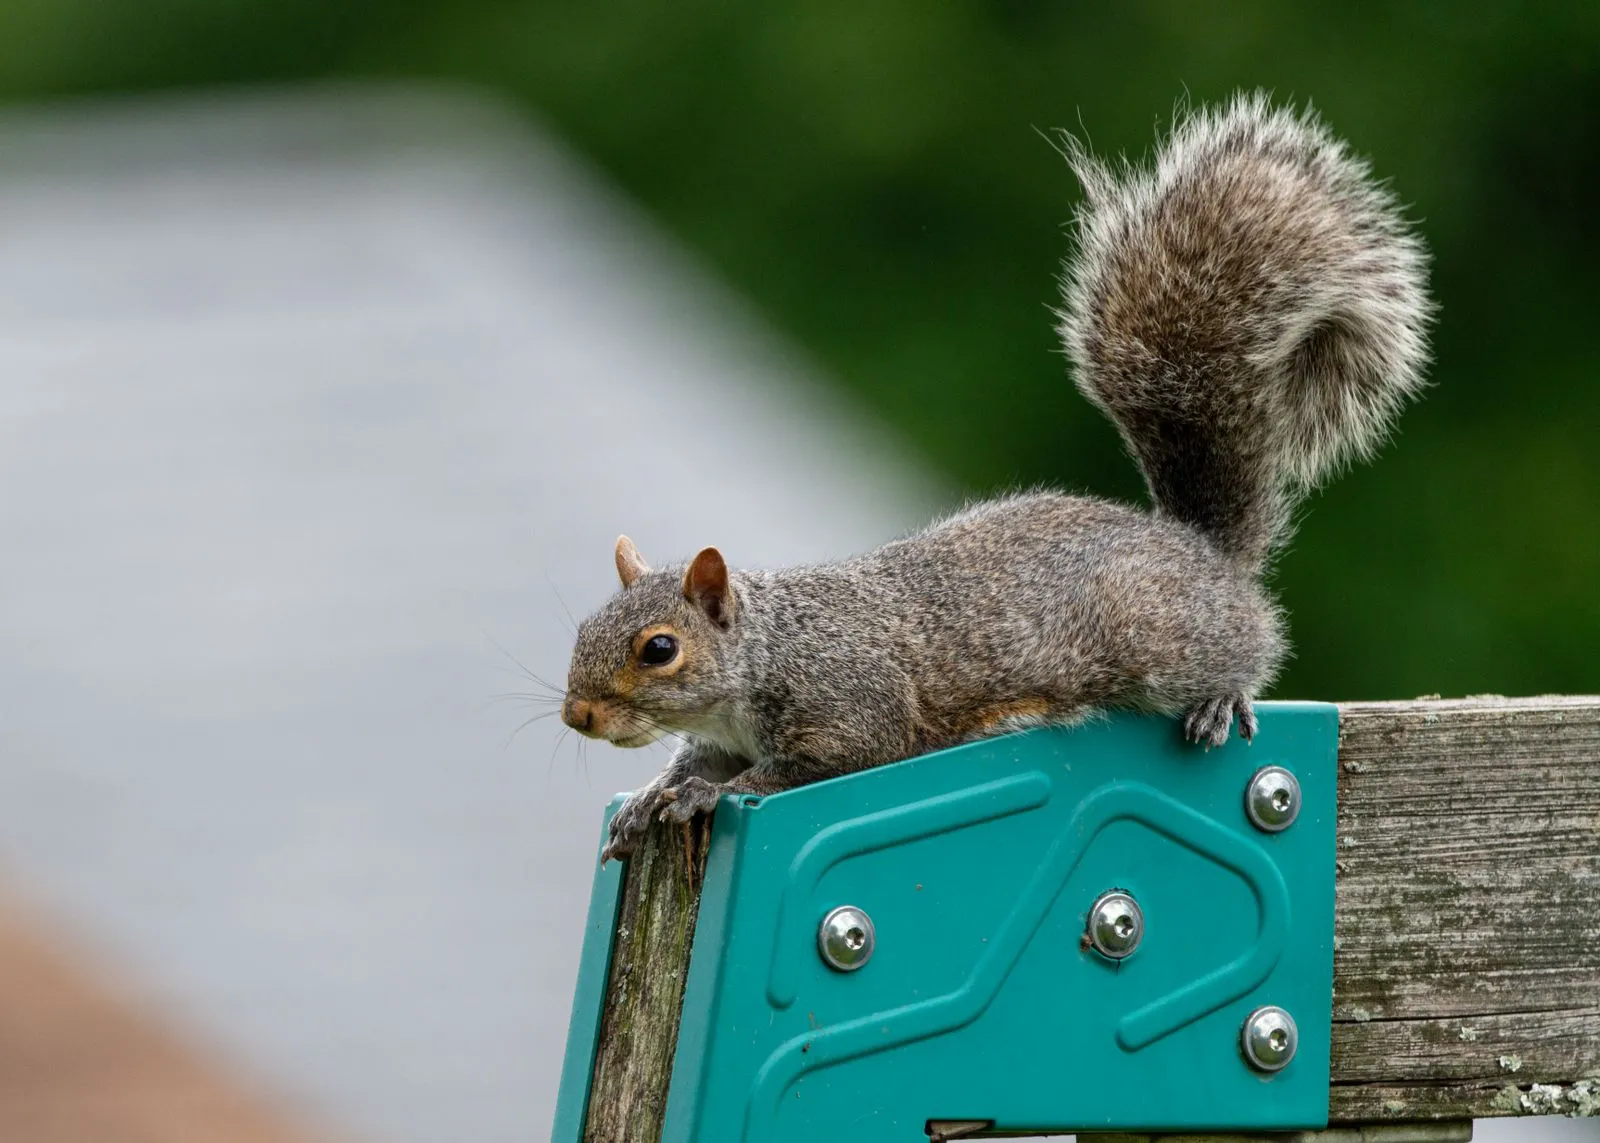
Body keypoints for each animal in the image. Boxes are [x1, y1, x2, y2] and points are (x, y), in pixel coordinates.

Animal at [561, 92, 1433, 863]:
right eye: (582, 628)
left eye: (660, 648)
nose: (576, 715)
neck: (769, 650)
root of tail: (1198, 549)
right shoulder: (725, 732)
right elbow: (701, 760)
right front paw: (652, 797)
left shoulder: (852, 709)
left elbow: (796, 770)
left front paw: (705, 794)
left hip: (1169, 636)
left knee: (1248, 646)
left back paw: (1223, 695)